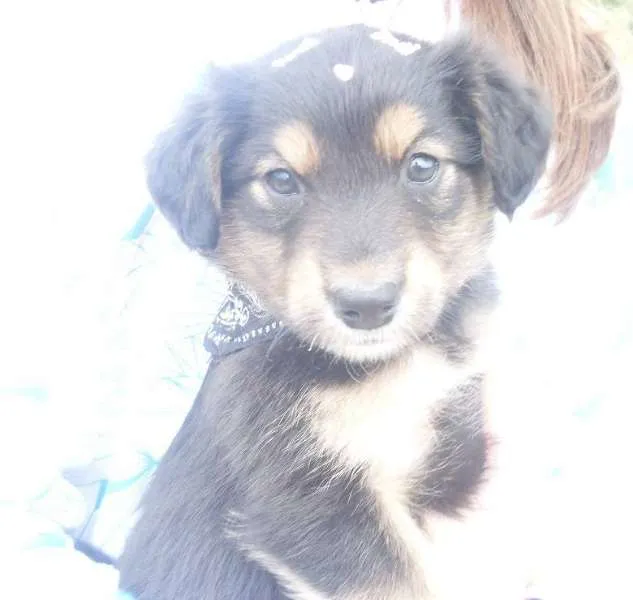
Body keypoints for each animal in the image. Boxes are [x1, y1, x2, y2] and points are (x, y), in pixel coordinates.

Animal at [118, 24, 551, 600]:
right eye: (281, 180)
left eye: (422, 165)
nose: (367, 306)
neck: (387, 365)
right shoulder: (307, 498)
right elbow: (405, 584)